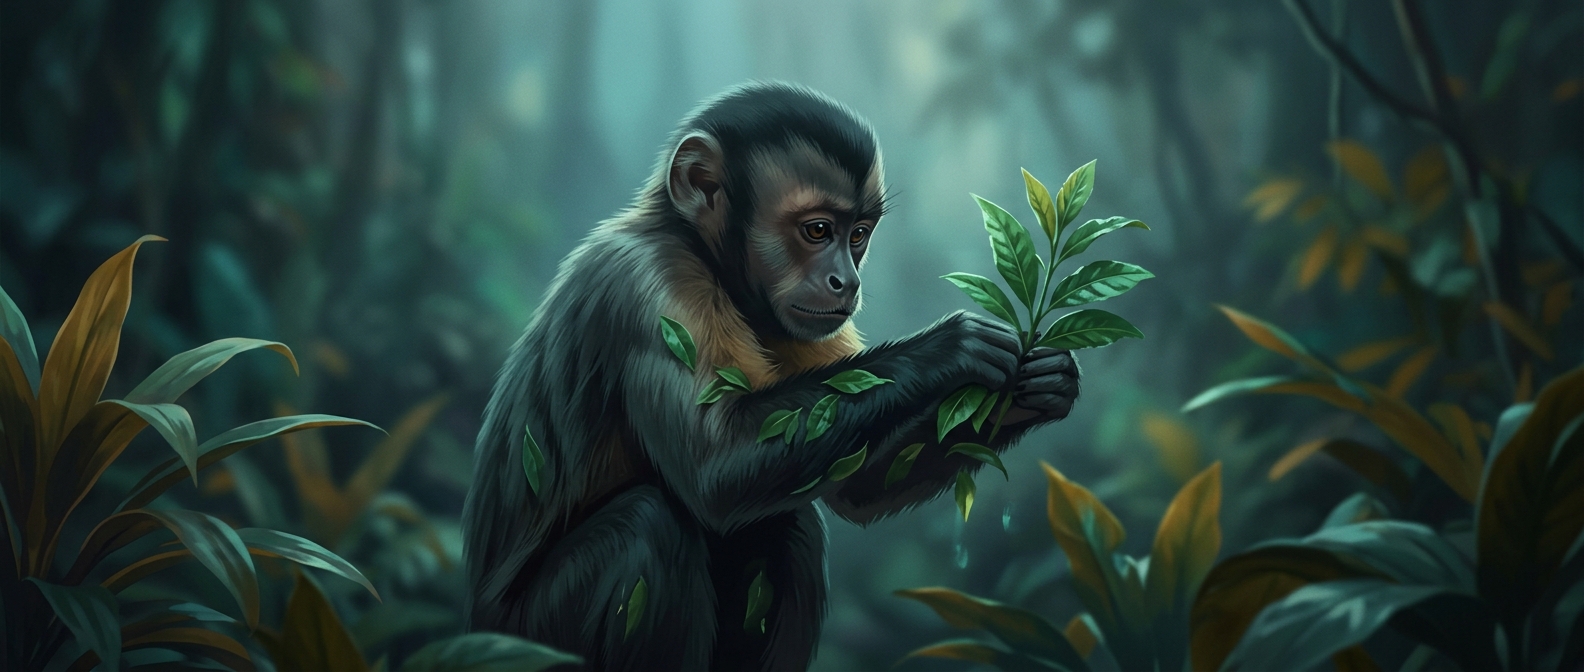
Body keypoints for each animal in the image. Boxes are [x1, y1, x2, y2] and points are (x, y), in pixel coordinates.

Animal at [460, 82, 1080, 671]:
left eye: (858, 235)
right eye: (818, 230)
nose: (847, 281)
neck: (709, 261)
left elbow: (857, 485)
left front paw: (1039, 387)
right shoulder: (647, 284)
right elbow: (714, 468)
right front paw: (950, 349)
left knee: (783, 524)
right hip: (533, 636)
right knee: (649, 524)